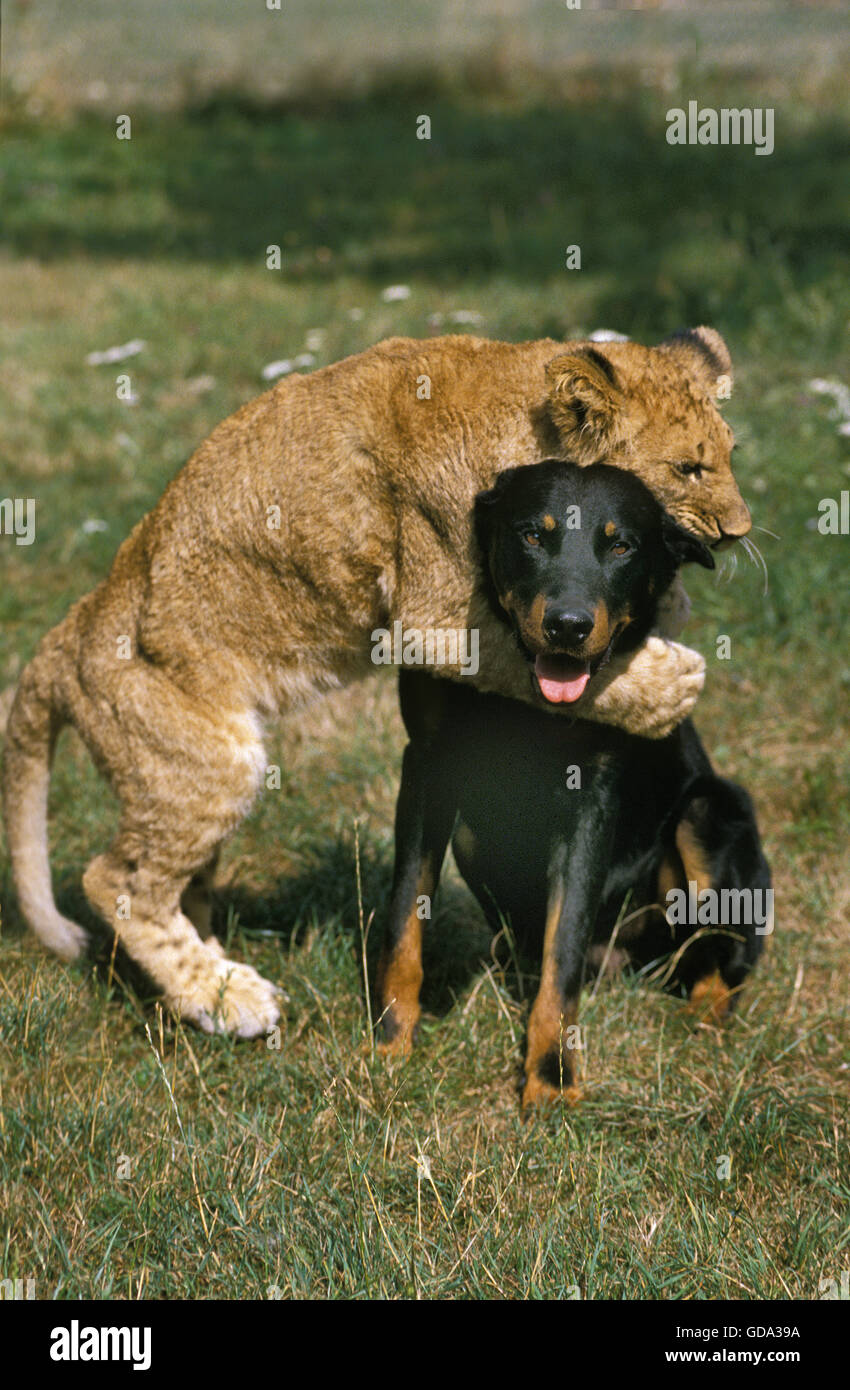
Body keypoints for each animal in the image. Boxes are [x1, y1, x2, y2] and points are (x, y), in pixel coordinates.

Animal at [377, 461, 772, 1112]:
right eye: (533, 535)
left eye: (621, 546)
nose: (567, 627)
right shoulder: (429, 763)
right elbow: (406, 917)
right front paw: (389, 1042)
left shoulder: (593, 795)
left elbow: (562, 948)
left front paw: (552, 1078)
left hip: (711, 812)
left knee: (721, 960)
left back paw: (701, 1029)